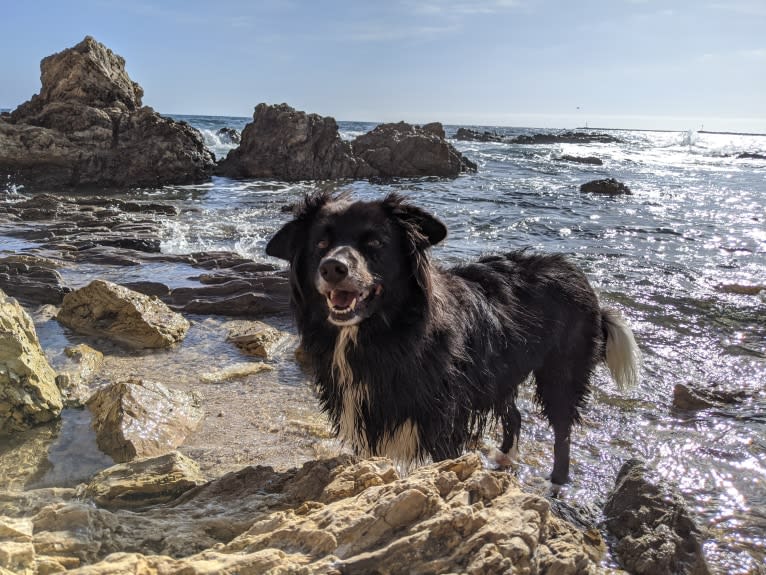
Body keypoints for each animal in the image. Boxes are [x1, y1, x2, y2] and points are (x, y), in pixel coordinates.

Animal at [268, 191, 640, 484]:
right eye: (320, 243)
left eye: (375, 243)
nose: (333, 268)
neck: (383, 333)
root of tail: (576, 273)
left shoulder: (442, 419)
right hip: (499, 375)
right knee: (515, 416)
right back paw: (504, 459)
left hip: (561, 372)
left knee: (562, 431)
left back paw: (557, 482)